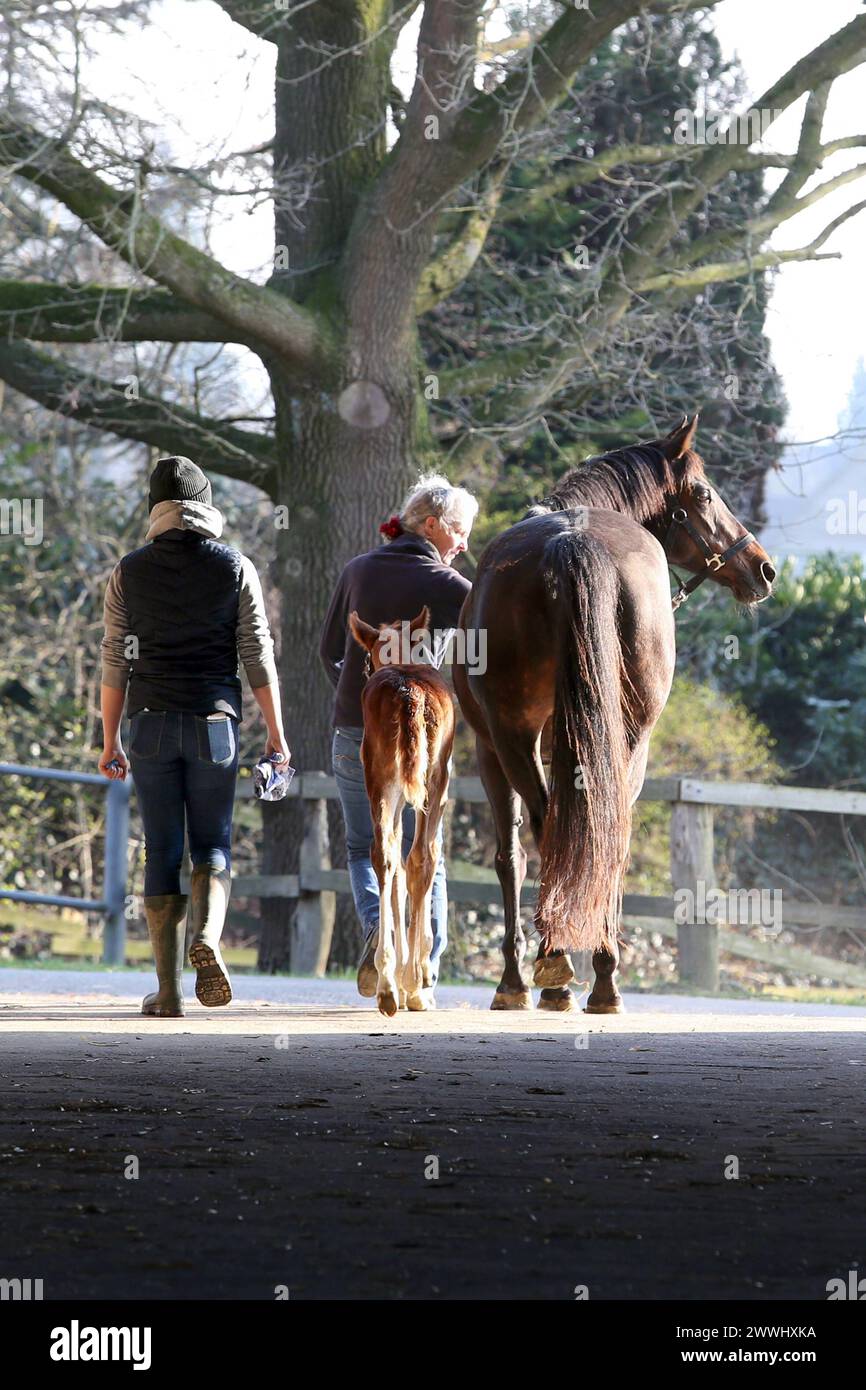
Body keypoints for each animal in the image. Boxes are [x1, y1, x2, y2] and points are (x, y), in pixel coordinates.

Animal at [349, 605, 455, 1017]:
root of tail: (408, 694)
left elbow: (394, 857)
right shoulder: (439, 787)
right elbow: (428, 856)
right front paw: (420, 976)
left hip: (382, 780)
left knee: (386, 855)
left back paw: (387, 988)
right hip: (431, 778)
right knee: (419, 856)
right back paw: (410, 984)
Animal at [453, 415, 776, 1013]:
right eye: (703, 494)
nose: (762, 569)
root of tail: (574, 542)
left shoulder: (493, 749)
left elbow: (511, 855)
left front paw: (514, 980)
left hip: (519, 739)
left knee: (555, 829)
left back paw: (560, 967)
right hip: (620, 738)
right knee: (605, 833)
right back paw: (598, 975)